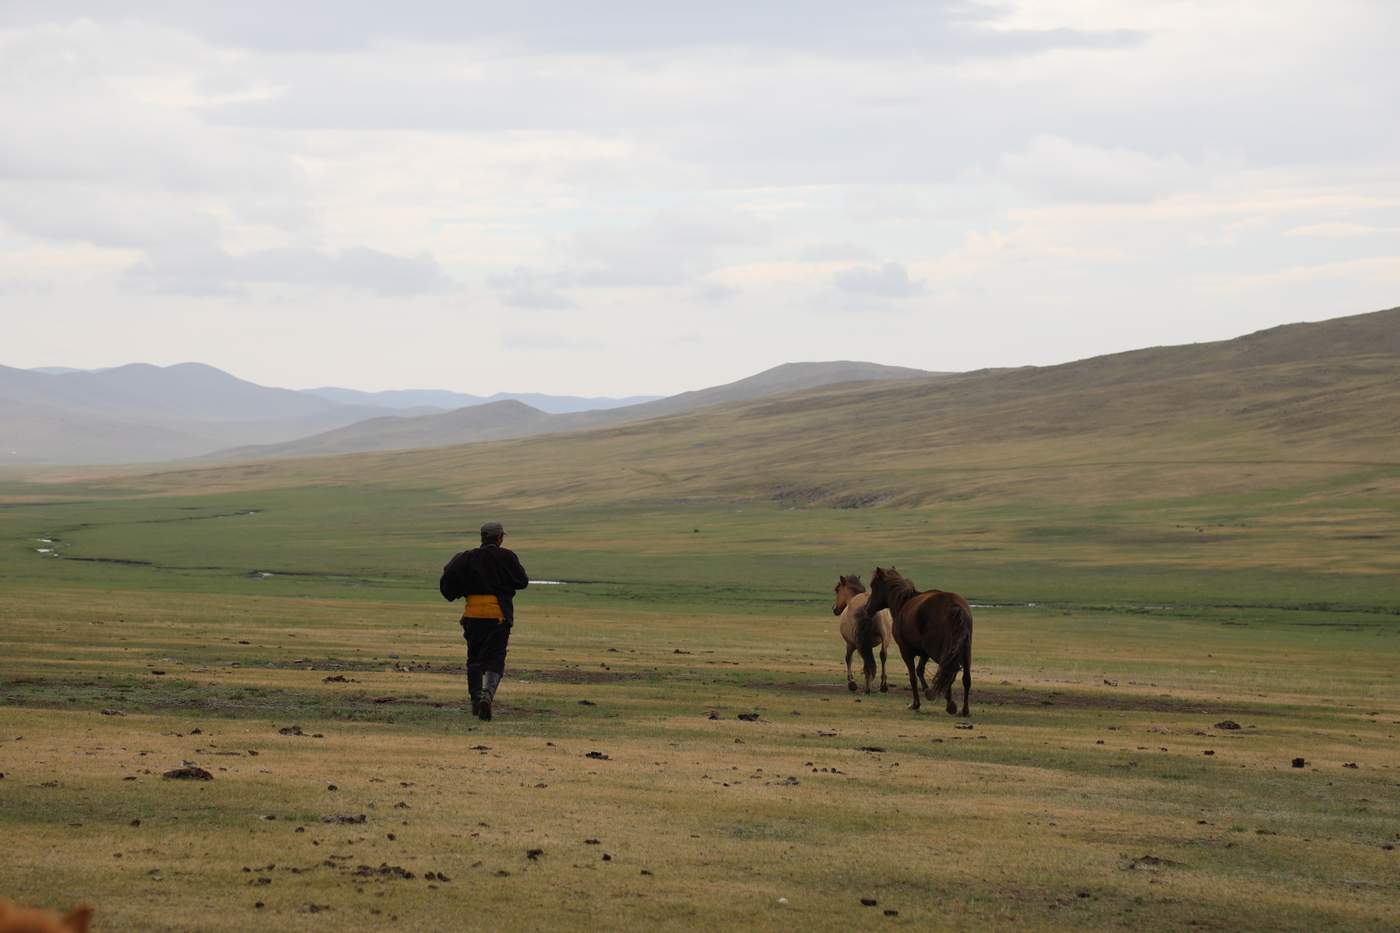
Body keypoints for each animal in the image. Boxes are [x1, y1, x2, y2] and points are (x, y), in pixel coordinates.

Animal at [862, 565, 974, 711]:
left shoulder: (906, 651)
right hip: (965, 652)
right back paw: (964, 710)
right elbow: (920, 670)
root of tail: (955, 606)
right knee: (965, 678)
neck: (903, 603)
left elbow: (913, 677)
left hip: (940, 652)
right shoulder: (924, 653)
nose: (866, 608)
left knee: (947, 671)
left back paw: (950, 705)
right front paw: (926, 689)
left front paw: (916, 703)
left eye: (873, 585)